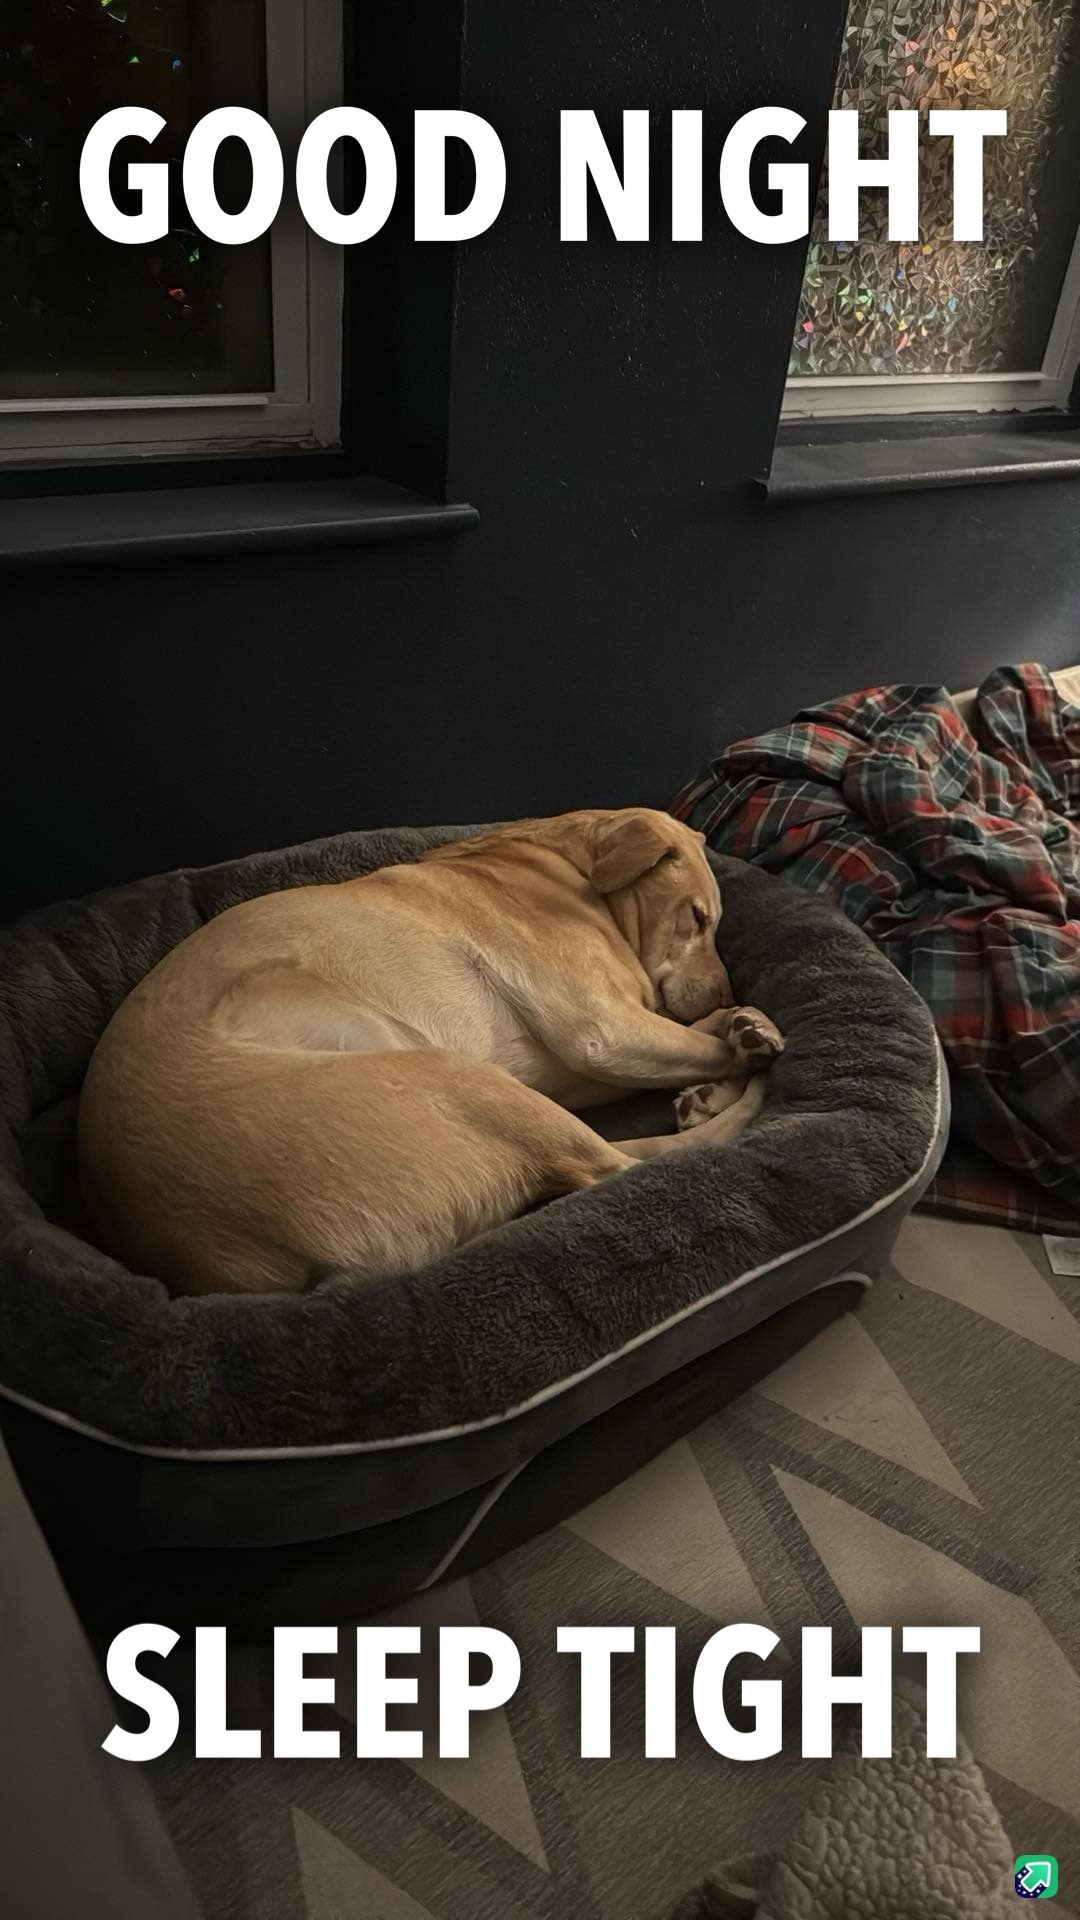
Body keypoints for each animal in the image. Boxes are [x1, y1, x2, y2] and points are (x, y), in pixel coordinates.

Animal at [77, 802, 780, 1297]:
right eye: (696, 917)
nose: (730, 985)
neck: (570, 869)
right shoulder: (602, 1030)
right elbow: (702, 1037)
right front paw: (743, 1037)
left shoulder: (595, 1059)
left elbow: (698, 1037)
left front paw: (730, 1049)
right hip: (457, 1075)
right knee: (620, 1165)